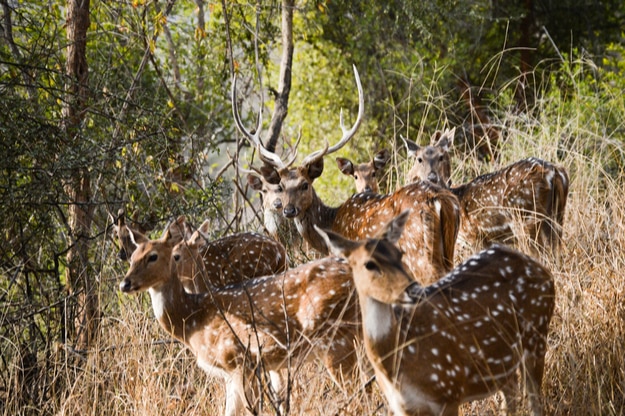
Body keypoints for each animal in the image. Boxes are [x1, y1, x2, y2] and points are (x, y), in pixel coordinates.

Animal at [120, 228, 360, 416]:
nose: (125, 283)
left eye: (153, 256)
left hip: (336, 338)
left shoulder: (238, 361)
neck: (192, 321)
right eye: (132, 257)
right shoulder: (233, 374)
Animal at [232, 66, 460, 286]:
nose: (287, 209)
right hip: (449, 249)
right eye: (281, 185)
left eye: (305, 184)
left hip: (419, 253)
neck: (330, 224)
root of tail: (438, 199)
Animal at [316, 211, 556, 416]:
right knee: (512, 392)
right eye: (369, 264)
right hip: (504, 361)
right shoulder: (402, 406)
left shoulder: (449, 391)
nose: (412, 288)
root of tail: (542, 269)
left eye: (400, 253)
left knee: (535, 400)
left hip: (537, 334)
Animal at [402, 127, 568, 254]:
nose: (431, 177)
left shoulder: (475, 237)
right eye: (419, 159)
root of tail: (554, 172)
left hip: (526, 220)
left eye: (441, 157)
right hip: (557, 217)